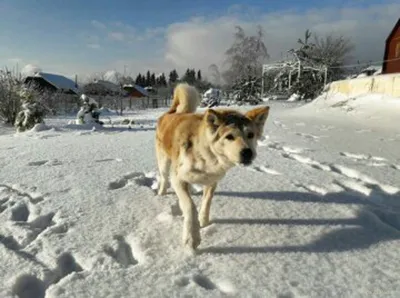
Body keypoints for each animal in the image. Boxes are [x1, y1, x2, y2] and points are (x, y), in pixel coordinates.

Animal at [155, 83, 270, 251]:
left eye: (251, 135)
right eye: (229, 136)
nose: (248, 153)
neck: (207, 157)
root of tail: (171, 113)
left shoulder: (212, 180)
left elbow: (207, 202)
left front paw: (204, 222)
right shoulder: (177, 177)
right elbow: (190, 206)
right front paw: (192, 237)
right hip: (163, 160)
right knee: (164, 178)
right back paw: (161, 193)